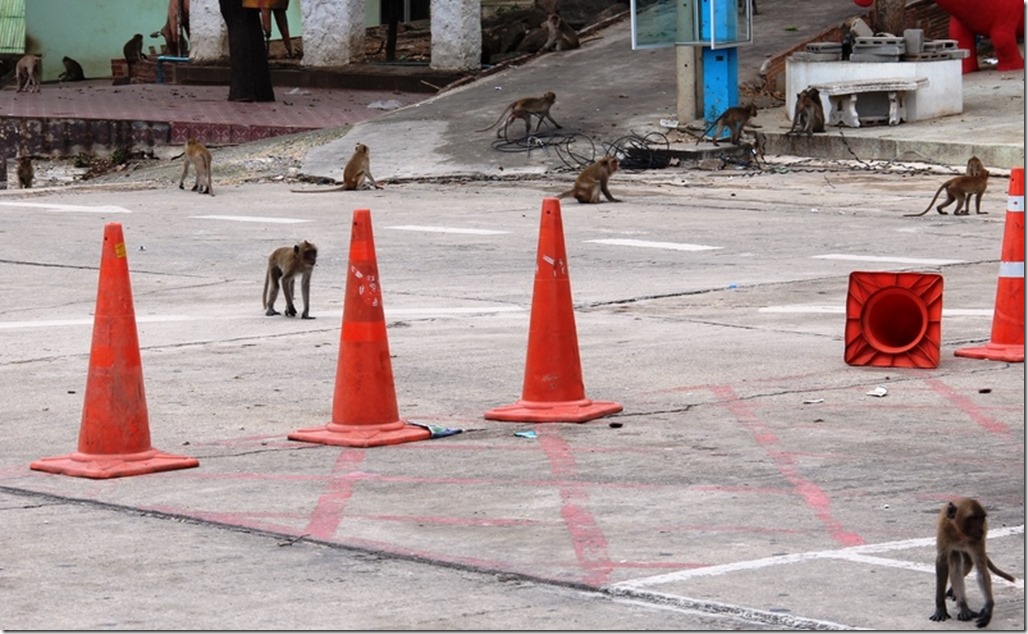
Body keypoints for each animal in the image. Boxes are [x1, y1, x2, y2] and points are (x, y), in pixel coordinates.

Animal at [929, 499, 1015, 628]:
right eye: (973, 518)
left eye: (981, 518)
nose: (980, 529)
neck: (959, 533)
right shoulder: (944, 531)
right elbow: (942, 563)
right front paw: (940, 608)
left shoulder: (977, 540)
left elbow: (981, 570)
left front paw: (988, 609)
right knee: (956, 564)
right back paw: (963, 606)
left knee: (966, 564)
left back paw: (961, 603)